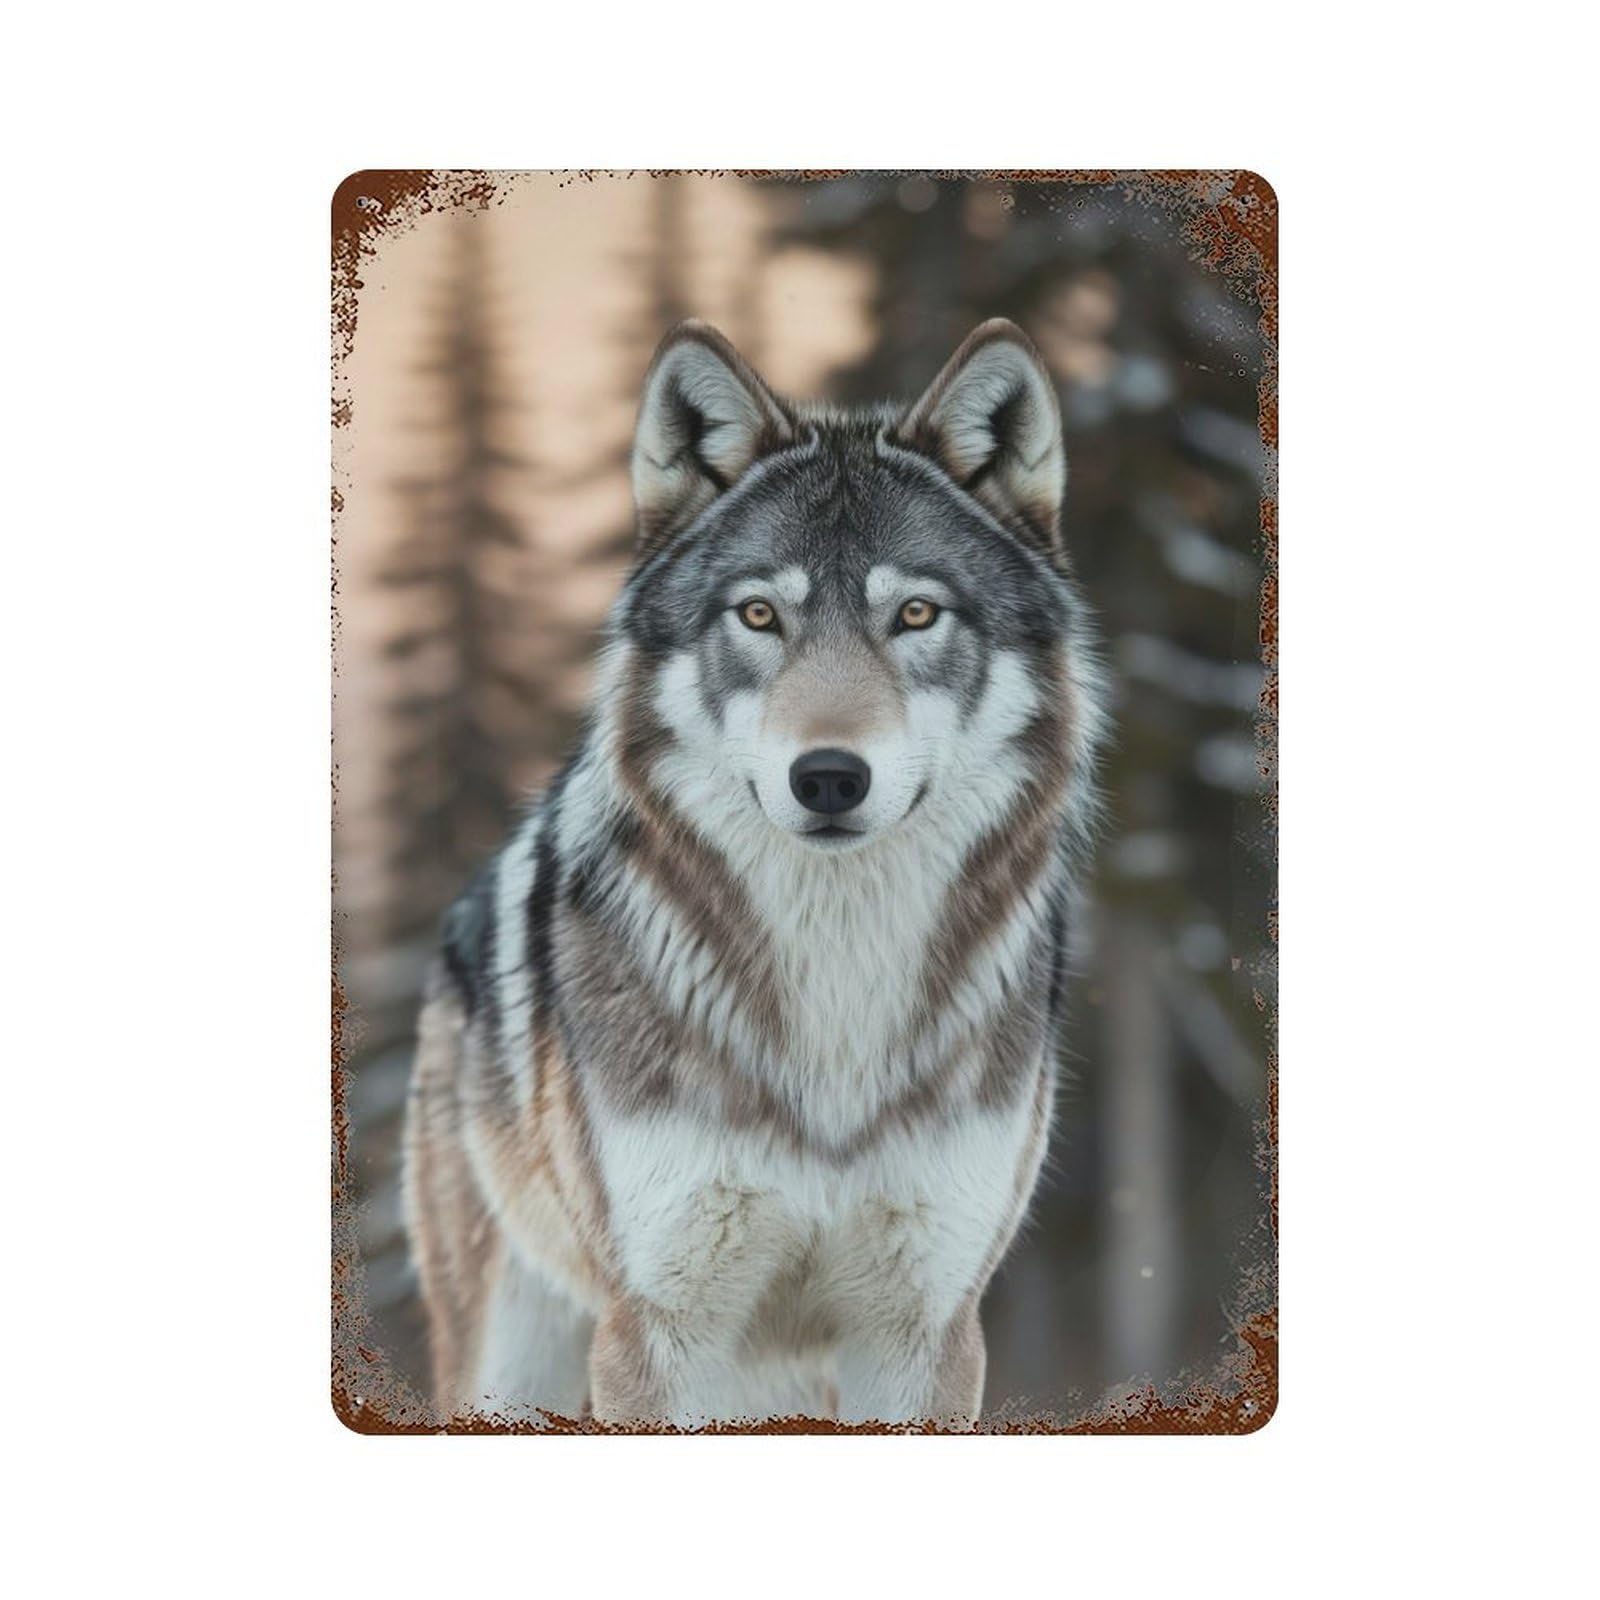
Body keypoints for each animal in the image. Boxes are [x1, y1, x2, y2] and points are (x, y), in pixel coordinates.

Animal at [402, 317, 1107, 1428]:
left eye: (916, 615)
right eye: (760, 616)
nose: (827, 777)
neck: (836, 990)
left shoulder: (923, 1334)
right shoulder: (660, 1333)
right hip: (513, 1359)